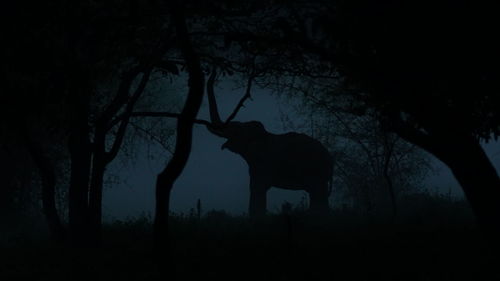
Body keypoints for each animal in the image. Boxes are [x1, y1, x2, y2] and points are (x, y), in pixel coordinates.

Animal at [205, 71, 334, 215]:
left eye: (236, 130)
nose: (214, 71)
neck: (262, 134)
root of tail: (331, 159)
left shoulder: (262, 163)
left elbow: (257, 189)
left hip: (316, 171)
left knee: (318, 195)